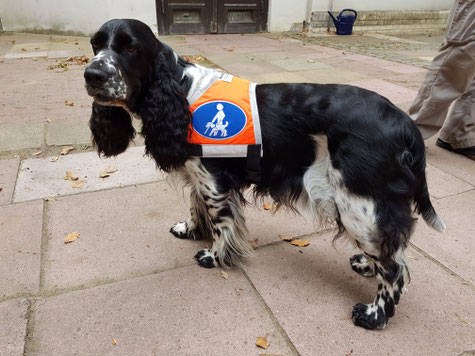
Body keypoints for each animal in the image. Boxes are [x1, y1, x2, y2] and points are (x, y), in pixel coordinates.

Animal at [84, 18, 446, 330]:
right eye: (95, 45)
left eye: (131, 48)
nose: (92, 75)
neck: (180, 91)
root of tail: (407, 126)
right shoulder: (198, 175)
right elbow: (195, 206)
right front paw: (190, 229)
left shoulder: (215, 183)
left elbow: (221, 224)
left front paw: (213, 256)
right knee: (391, 251)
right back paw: (365, 266)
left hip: (358, 204)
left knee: (394, 268)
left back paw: (374, 315)